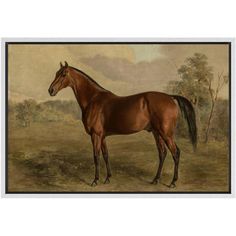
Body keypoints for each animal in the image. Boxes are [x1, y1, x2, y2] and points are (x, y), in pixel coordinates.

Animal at [48, 61, 197, 188]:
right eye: (56, 73)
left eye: (63, 74)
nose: (51, 90)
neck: (93, 99)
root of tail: (170, 97)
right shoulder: (102, 136)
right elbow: (105, 155)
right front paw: (108, 178)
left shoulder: (95, 135)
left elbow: (96, 156)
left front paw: (95, 180)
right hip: (157, 133)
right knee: (162, 153)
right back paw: (156, 179)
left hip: (166, 133)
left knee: (175, 153)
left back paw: (173, 182)